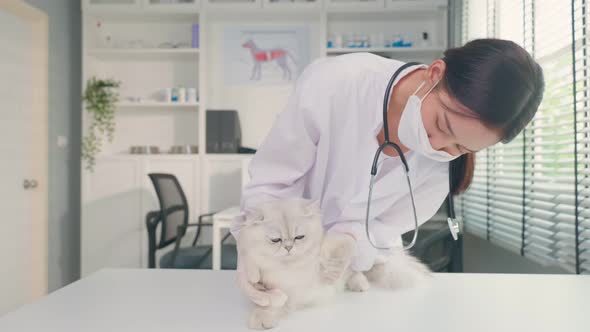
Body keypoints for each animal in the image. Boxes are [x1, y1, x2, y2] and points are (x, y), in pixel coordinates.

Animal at [238, 198, 432, 328]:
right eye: (275, 240)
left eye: (299, 237)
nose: (288, 247)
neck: (290, 267)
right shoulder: (272, 288)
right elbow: (270, 302)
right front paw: (263, 316)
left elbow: (340, 246)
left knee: (358, 270)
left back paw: (360, 284)